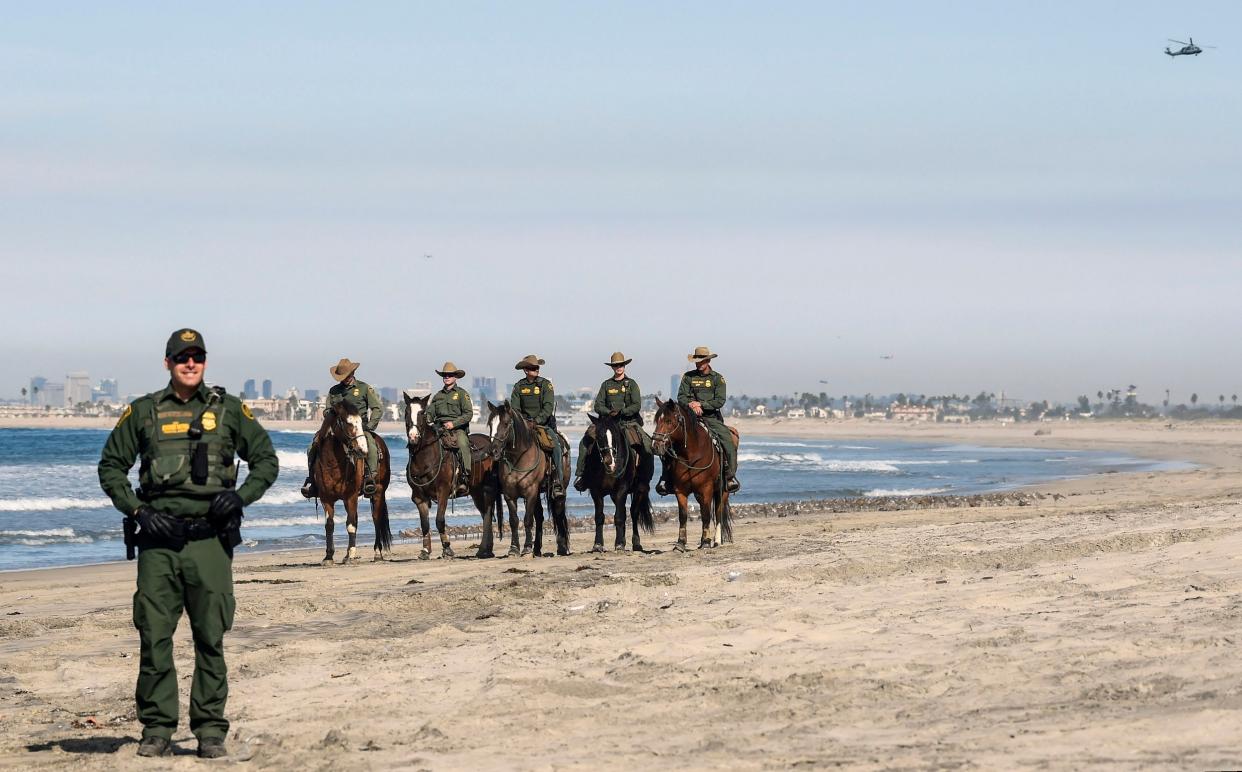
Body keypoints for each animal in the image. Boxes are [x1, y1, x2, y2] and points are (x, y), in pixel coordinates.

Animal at [308, 399, 389, 563]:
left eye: (360, 422)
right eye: (347, 423)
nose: (363, 450)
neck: (332, 463)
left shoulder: (351, 496)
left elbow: (351, 525)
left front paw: (351, 554)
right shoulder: (326, 498)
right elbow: (330, 525)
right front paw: (329, 556)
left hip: (378, 492)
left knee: (376, 519)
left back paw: (377, 552)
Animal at [407, 397, 504, 558]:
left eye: (422, 412)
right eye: (407, 412)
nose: (413, 436)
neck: (426, 458)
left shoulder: (443, 492)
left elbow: (439, 520)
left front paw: (447, 548)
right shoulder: (419, 497)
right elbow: (424, 524)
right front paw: (425, 550)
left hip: (488, 490)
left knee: (488, 515)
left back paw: (485, 550)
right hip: (476, 493)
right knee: (485, 515)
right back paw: (485, 549)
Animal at [484, 402, 571, 558]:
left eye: (506, 423)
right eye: (490, 424)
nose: (493, 452)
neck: (518, 458)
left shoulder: (531, 492)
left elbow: (528, 520)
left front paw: (526, 548)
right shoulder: (509, 495)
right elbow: (514, 521)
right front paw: (514, 548)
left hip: (559, 489)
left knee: (559, 511)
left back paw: (562, 547)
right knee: (540, 516)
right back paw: (537, 548)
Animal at [583, 414, 655, 553]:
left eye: (615, 436)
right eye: (598, 436)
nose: (610, 462)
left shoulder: (622, 489)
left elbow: (619, 516)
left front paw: (619, 544)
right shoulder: (596, 490)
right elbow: (599, 516)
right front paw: (598, 545)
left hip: (641, 488)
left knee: (633, 513)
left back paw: (636, 543)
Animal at [650, 399, 725, 551]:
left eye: (668, 421)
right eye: (656, 421)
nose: (655, 446)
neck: (691, 455)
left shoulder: (706, 489)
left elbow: (706, 515)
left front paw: (706, 542)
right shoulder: (680, 490)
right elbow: (683, 515)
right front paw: (680, 543)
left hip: (722, 490)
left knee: (718, 512)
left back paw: (716, 540)